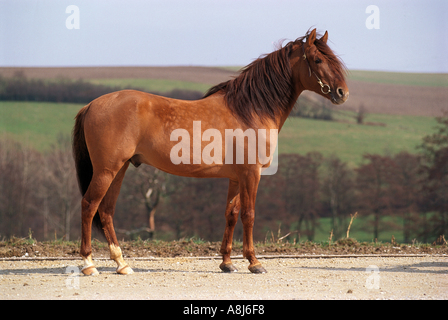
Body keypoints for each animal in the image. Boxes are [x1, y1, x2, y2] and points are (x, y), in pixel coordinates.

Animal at [72, 28, 348, 276]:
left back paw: (122, 264)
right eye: (318, 60)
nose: (342, 93)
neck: (250, 110)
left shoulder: (236, 177)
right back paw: (88, 264)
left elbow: (231, 214)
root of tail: (91, 104)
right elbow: (249, 215)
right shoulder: (251, 174)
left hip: (119, 169)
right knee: (89, 205)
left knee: (106, 211)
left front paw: (226, 263)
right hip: (107, 170)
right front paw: (254, 263)